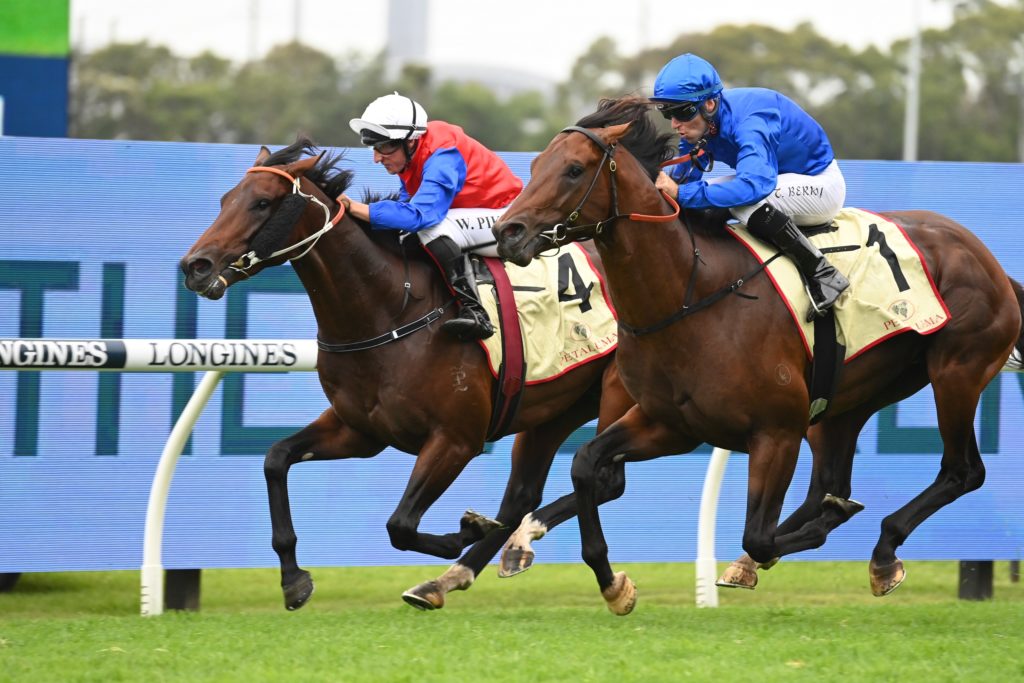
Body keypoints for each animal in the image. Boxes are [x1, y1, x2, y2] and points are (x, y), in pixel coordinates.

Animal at [179, 138, 635, 610]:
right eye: (225, 200)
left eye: (262, 203)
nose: (195, 265)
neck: (388, 311)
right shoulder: (360, 431)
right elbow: (275, 459)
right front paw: (293, 578)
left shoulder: (455, 439)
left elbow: (399, 524)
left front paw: (469, 527)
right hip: (554, 407)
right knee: (526, 495)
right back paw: (468, 568)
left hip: (617, 393)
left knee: (605, 479)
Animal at [493, 96, 1024, 614]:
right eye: (536, 165)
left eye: (574, 169)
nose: (507, 231)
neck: (689, 296)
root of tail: (988, 259)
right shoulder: (670, 423)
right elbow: (586, 462)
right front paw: (612, 582)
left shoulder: (776, 432)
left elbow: (760, 535)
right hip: (849, 400)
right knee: (829, 482)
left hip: (957, 371)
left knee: (962, 471)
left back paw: (882, 551)